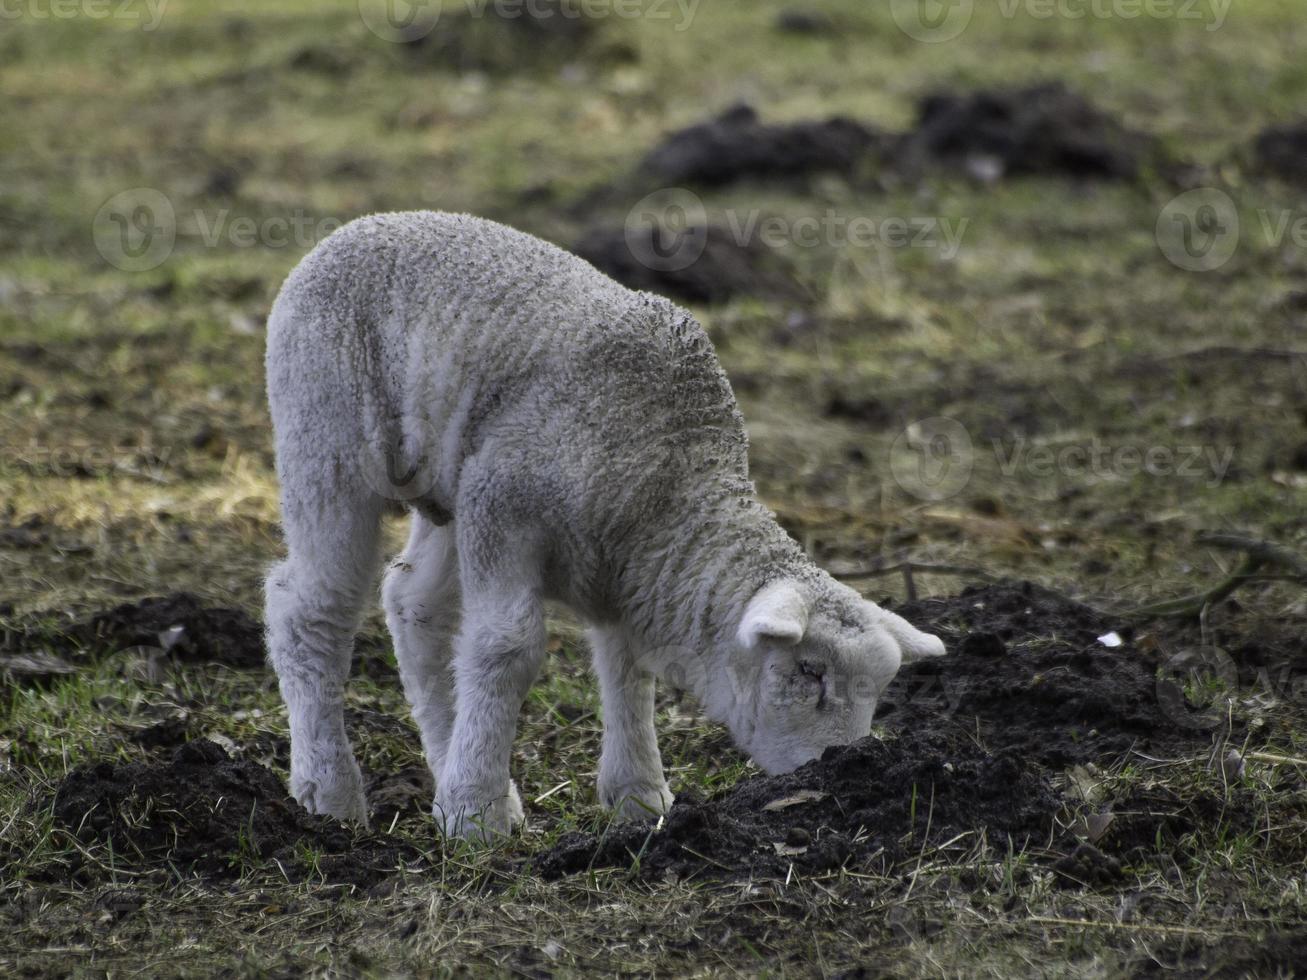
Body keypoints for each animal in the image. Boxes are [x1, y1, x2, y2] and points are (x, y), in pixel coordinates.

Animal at [260, 211, 946, 841]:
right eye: (809, 674)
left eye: (877, 689)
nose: (845, 771)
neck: (668, 480)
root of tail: (355, 227)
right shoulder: (504, 509)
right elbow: (505, 648)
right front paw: (475, 815)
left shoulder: (625, 566)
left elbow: (627, 666)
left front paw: (638, 795)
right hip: (326, 436)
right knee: (310, 608)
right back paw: (330, 792)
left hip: (451, 481)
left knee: (413, 605)